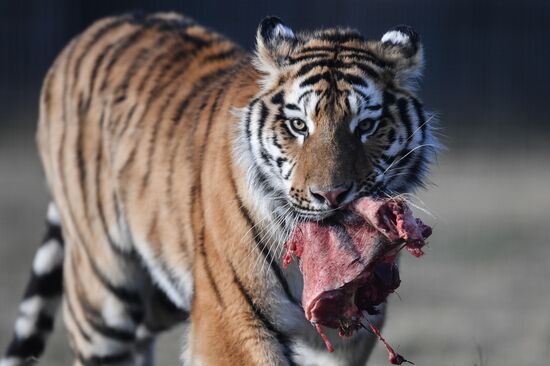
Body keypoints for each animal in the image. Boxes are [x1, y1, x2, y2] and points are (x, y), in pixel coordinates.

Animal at [0, 11, 440, 366]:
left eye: (366, 126)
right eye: (299, 125)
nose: (331, 195)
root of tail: (97, 27)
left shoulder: (347, 332)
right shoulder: (231, 318)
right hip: (103, 297)